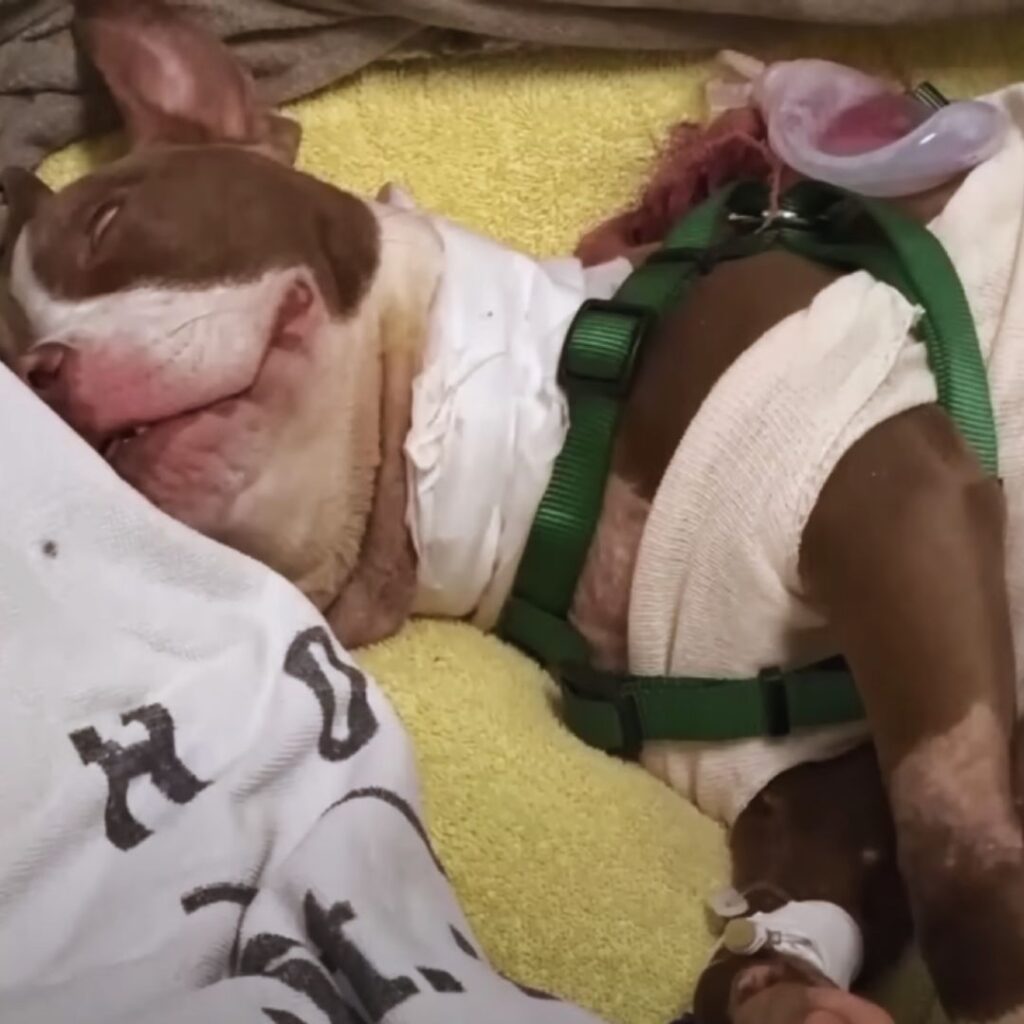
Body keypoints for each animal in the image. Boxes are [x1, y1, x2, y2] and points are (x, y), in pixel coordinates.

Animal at [4, 3, 1024, 1023]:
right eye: (18, 374)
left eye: (107, 220)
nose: (49, 380)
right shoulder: (800, 765)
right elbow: (794, 904)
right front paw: (780, 992)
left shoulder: (878, 480)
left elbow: (955, 844)